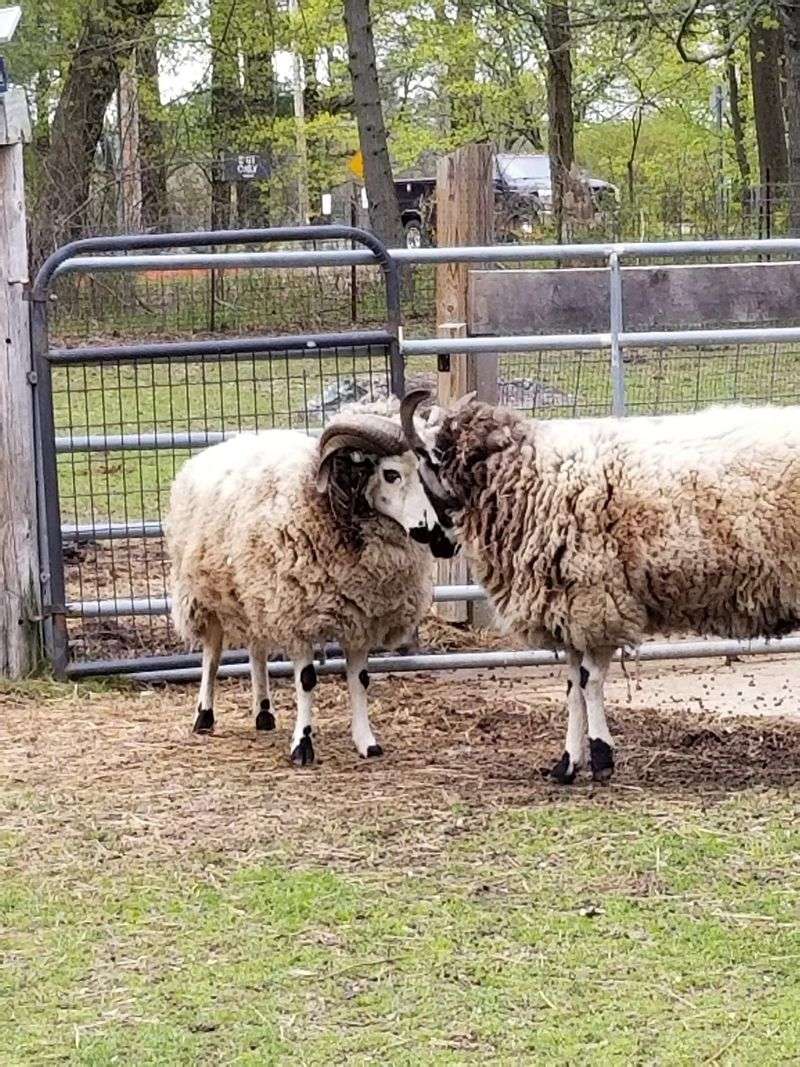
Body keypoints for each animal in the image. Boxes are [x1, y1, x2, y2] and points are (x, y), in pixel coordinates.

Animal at [166, 407, 451, 764]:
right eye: (390, 474)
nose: (437, 535)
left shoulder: (359, 619)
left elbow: (360, 680)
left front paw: (367, 742)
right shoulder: (297, 616)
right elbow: (306, 680)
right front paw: (302, 745)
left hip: (255, 595)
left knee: (257, 650)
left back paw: (264, 712)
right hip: (205, 594)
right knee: (213, 654)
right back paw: (204, 715)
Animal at [400, 389, 800, 784]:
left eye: (422, 468)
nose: (425, 536)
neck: (528, 479)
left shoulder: (596, 603)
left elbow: (588, 681)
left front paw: (601, 756)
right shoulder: (569, 611)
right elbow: (571, 687)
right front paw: (567, 764)